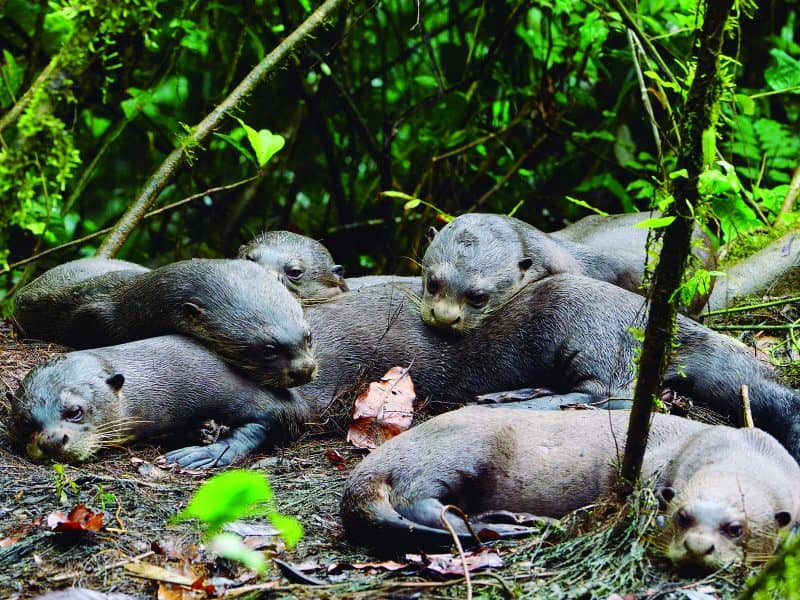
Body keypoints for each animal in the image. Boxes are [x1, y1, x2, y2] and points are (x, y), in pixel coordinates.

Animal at [340, 408, 800, 572]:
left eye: (735, 528)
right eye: (682, 517)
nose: (699, 545)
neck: (742, 450)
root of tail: (372, 462)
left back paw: (514, 521)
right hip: (461, 448)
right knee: (422, 503)